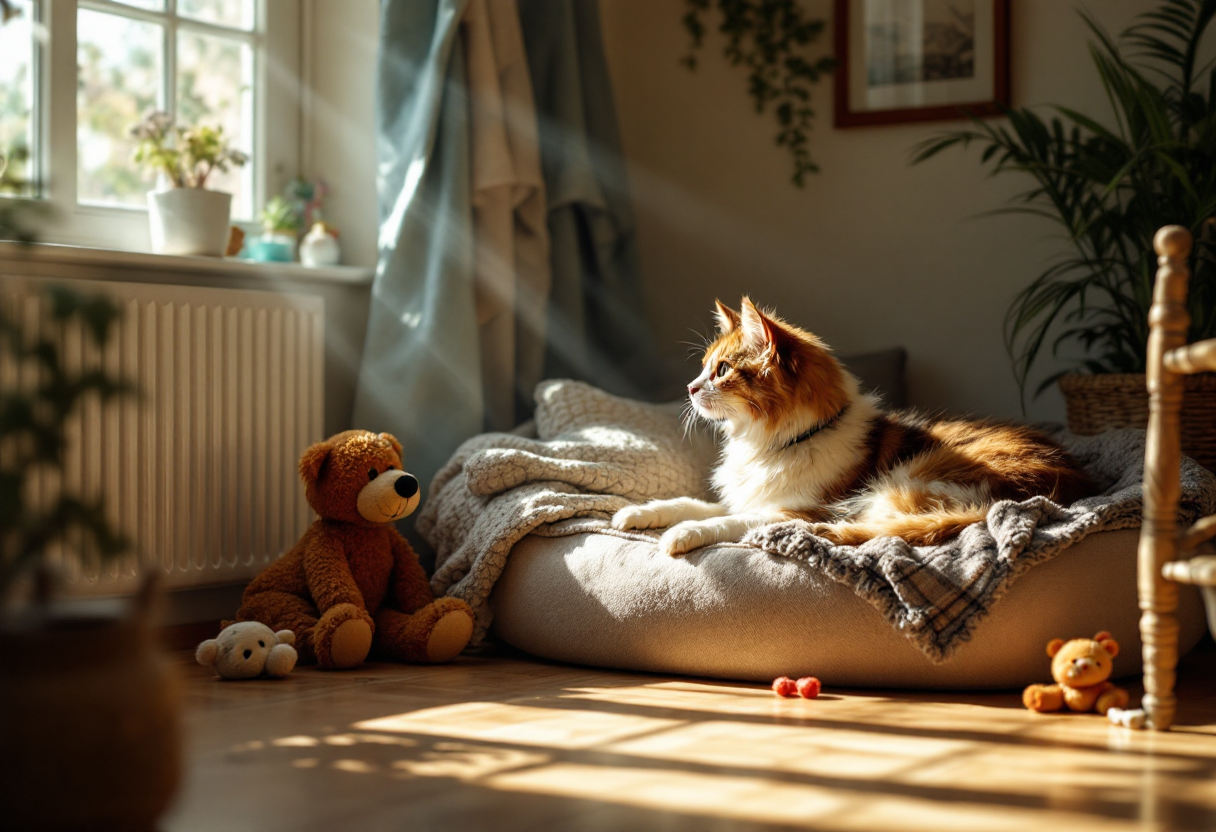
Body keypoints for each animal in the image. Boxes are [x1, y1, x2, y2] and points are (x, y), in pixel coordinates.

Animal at [612, 295, 1099, 554]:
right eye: (704, 367)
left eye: (722, 370)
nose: (690, 387)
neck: (775, 444)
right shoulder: (750, 497)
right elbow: (693, 503)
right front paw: (638, 513)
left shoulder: (799, 507)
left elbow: (724, 522)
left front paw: (680, 535)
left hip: (906, 483)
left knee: (878, 533)